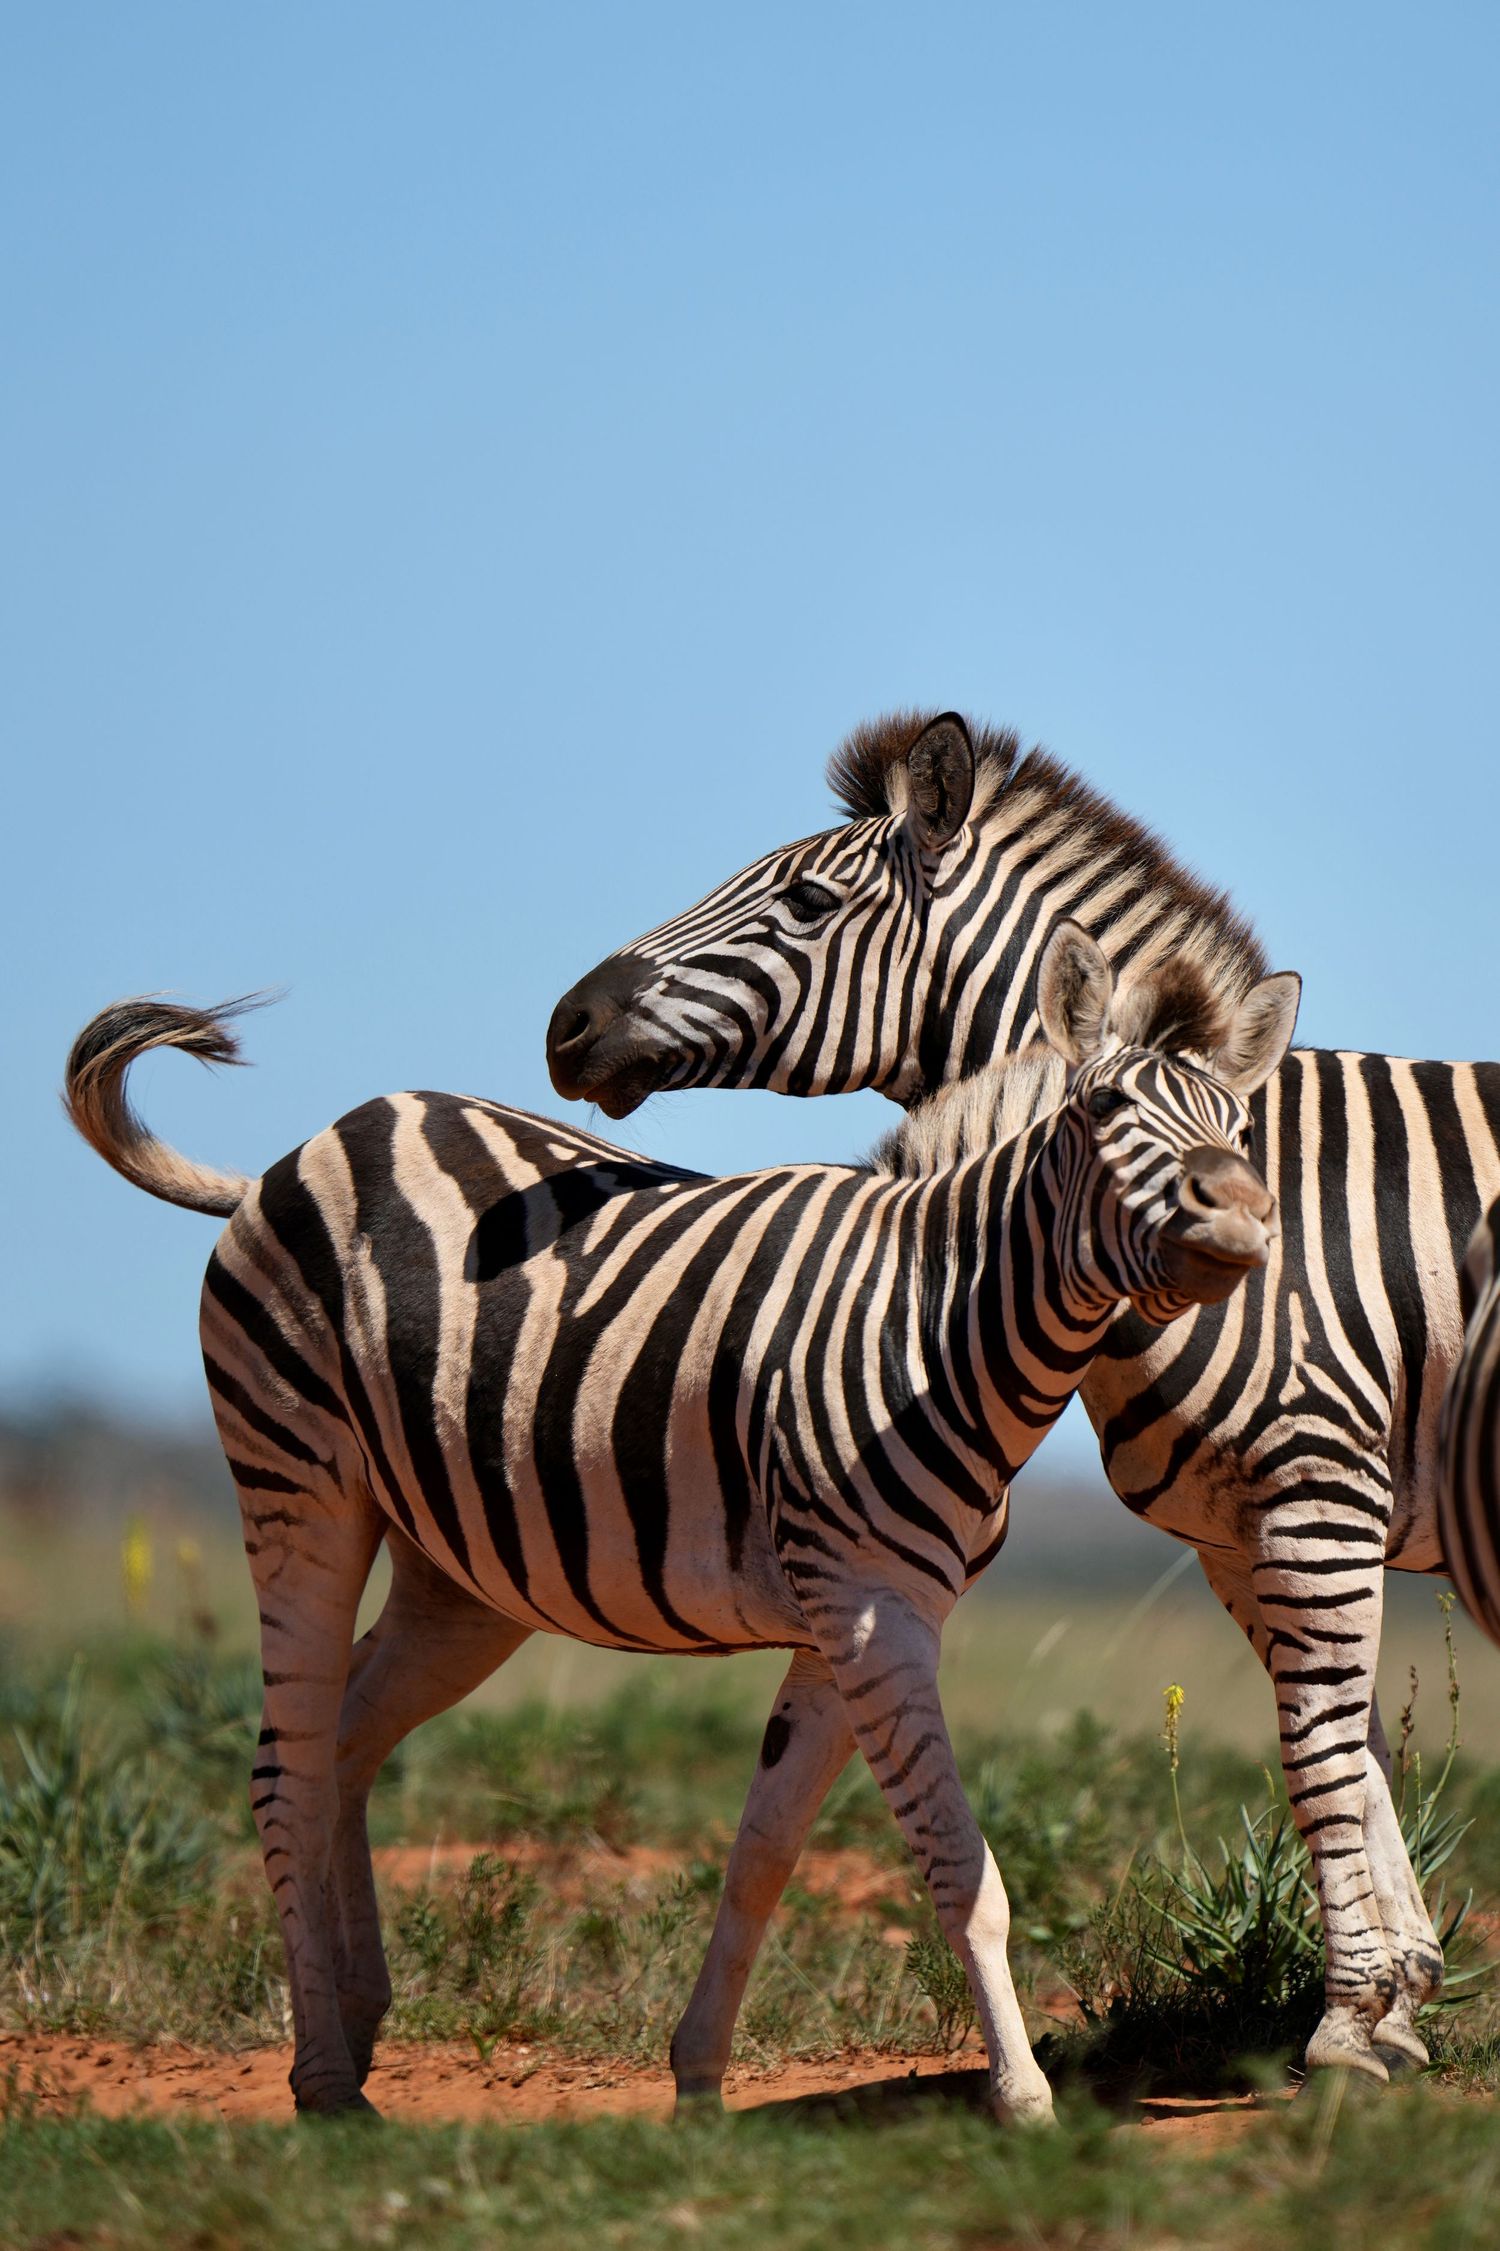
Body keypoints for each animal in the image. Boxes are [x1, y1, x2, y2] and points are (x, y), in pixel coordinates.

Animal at [64, 922, 1293, 2122]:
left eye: (1241, 1128)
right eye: (1104, 1110)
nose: (1241, 1214)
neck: (938, 1317)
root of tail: (303, 1151)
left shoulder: (844, 1623)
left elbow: (764, 1851)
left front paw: (698, 2078)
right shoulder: (871, 1612)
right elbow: (961, 1869)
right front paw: (1024, 2096)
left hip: (460, 1568)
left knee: (347, 1739)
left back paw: (358, 2026)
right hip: (299, 1483)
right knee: (286, 1767)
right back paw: (322, 2078)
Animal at [547, 707, 1500, 2084]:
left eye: (805, 900)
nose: (566, 1023)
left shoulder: (1316, 1485)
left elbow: (1319, 1748)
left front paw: (1341, 2026)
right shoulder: (1244, 1524)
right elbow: (1349, 1741)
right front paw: (1400, 1998)